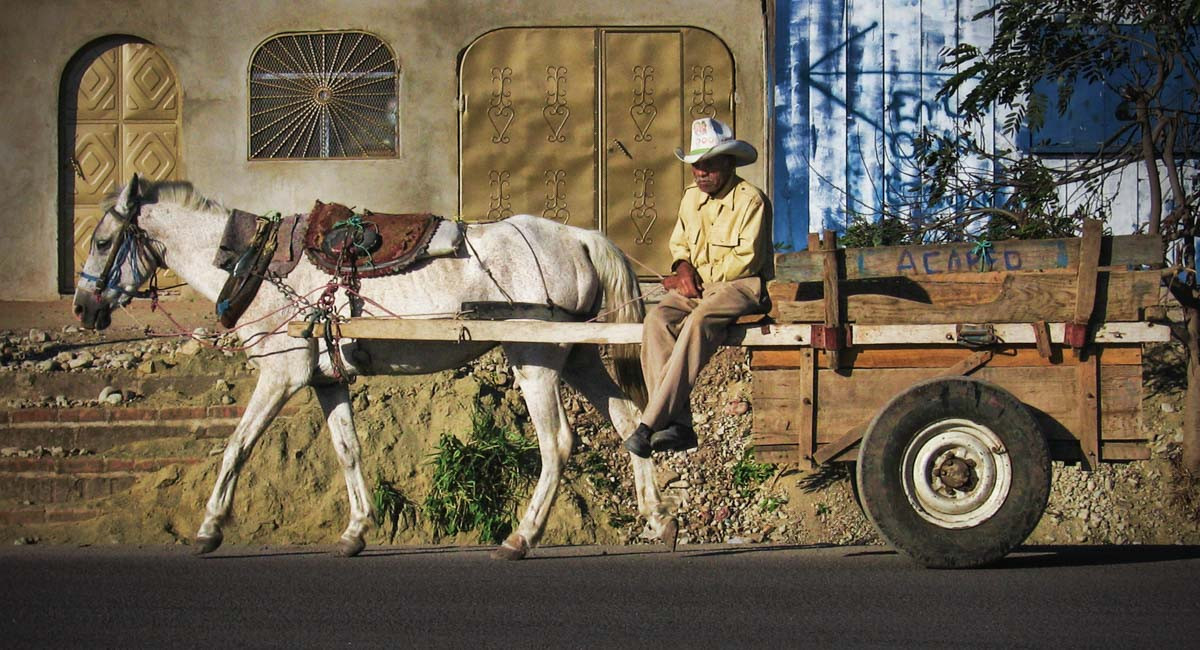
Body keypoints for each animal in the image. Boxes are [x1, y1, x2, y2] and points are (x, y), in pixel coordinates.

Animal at [72, 177, 676, 561]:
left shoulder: (281, 373)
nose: (82, 308)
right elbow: (348, 450)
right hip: (576, 352)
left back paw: (521, 538)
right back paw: (659, 518)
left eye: (102, 241)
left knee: (558, 444)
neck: (257, 267)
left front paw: (208, 528)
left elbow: (237, 446)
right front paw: (356, 530)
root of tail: (580, 236)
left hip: (536, 357)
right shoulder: (326, 379)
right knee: (628, 423)